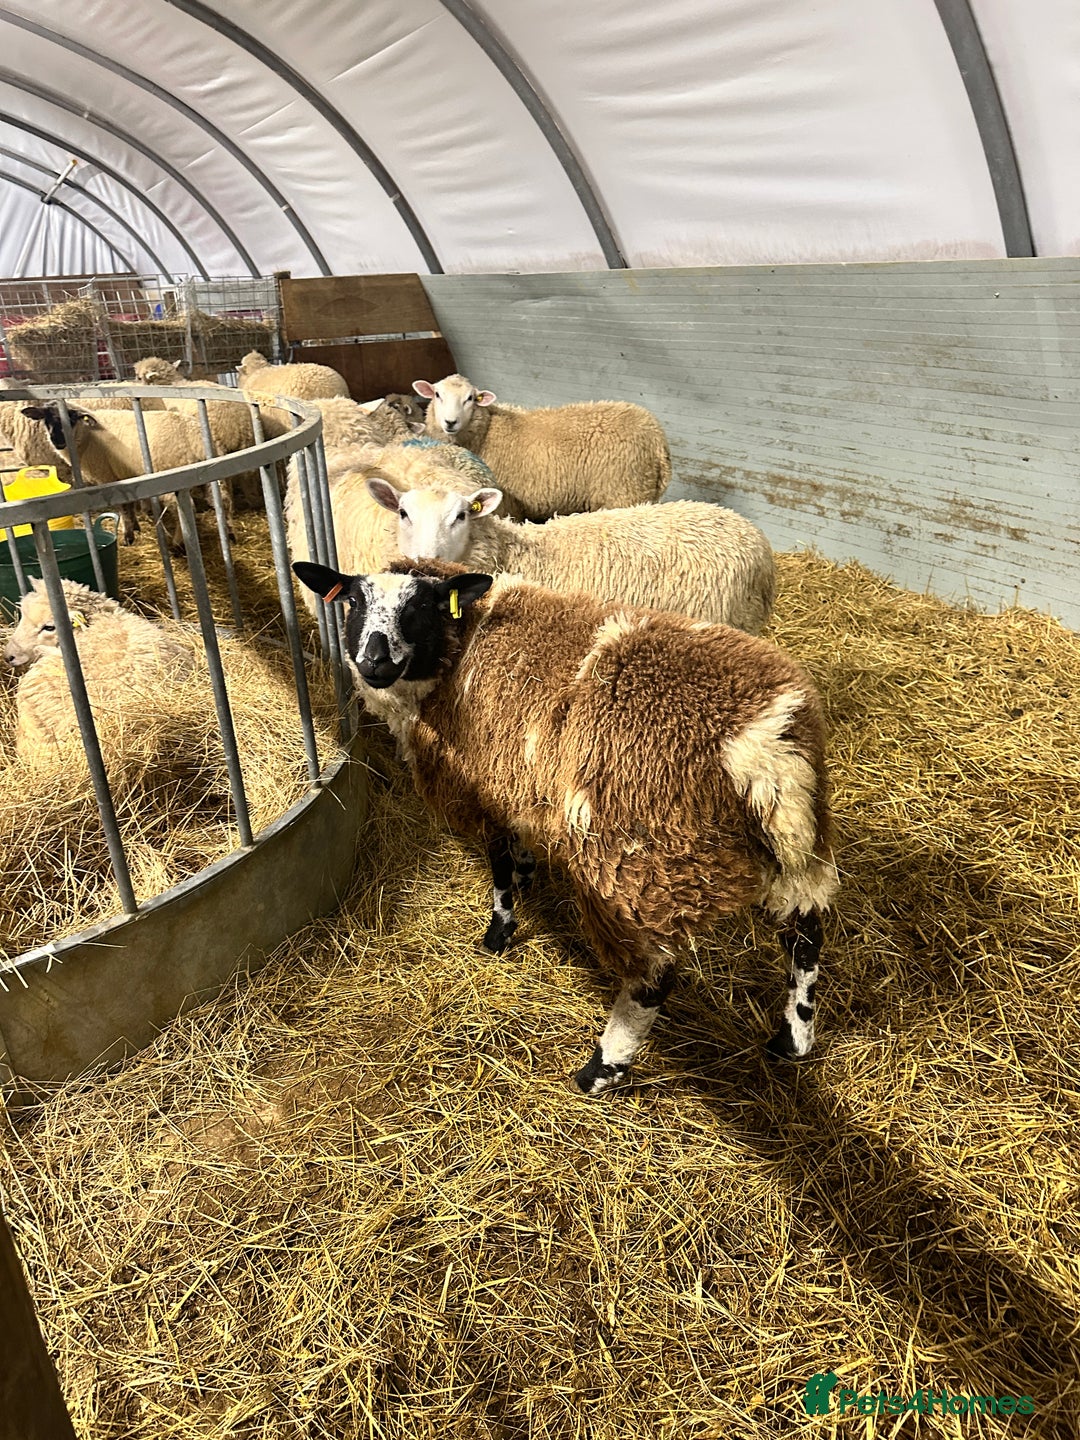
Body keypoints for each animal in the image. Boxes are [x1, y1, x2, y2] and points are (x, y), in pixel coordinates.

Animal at [293, 557, 837, 1092]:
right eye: (353, 600)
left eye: (423, 606)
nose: (374, 662)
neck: (459, 648)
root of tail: (768, 746)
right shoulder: (522, 781)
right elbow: (520, 849)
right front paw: (527, 876)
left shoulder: (487, 783)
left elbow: (498, 866)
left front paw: (498, 932)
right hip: (795, 851)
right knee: (806, 933)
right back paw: (793, 1039)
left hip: (641, 869)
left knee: (653, 978)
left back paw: (601, 1070)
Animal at [414, 373, 672, 521]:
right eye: (437, 394)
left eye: (470, 398)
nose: (450, 422)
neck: (485, 432)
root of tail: (657, 437)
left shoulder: (507, 503)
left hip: (625, 492)